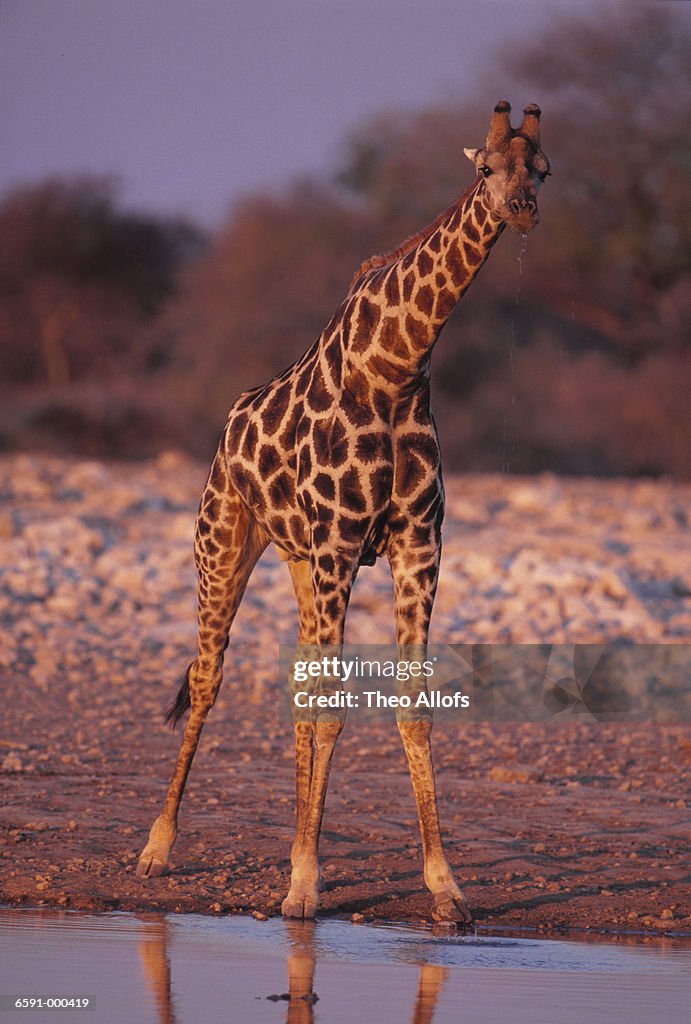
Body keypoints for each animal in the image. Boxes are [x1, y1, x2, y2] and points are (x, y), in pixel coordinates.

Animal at [136, 99, 552, 925]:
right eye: (488, 167)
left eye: (543, 170)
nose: (519, 206)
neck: (395, 367)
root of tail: (226, 426)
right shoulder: (339, 545)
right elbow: (332, 707)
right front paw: (301, 886)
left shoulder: (417, 545)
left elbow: (411, 707)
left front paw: (444, 887)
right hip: (224, 541)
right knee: (207, 678)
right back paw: (157, 849)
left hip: (298, 560)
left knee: (297, 683)